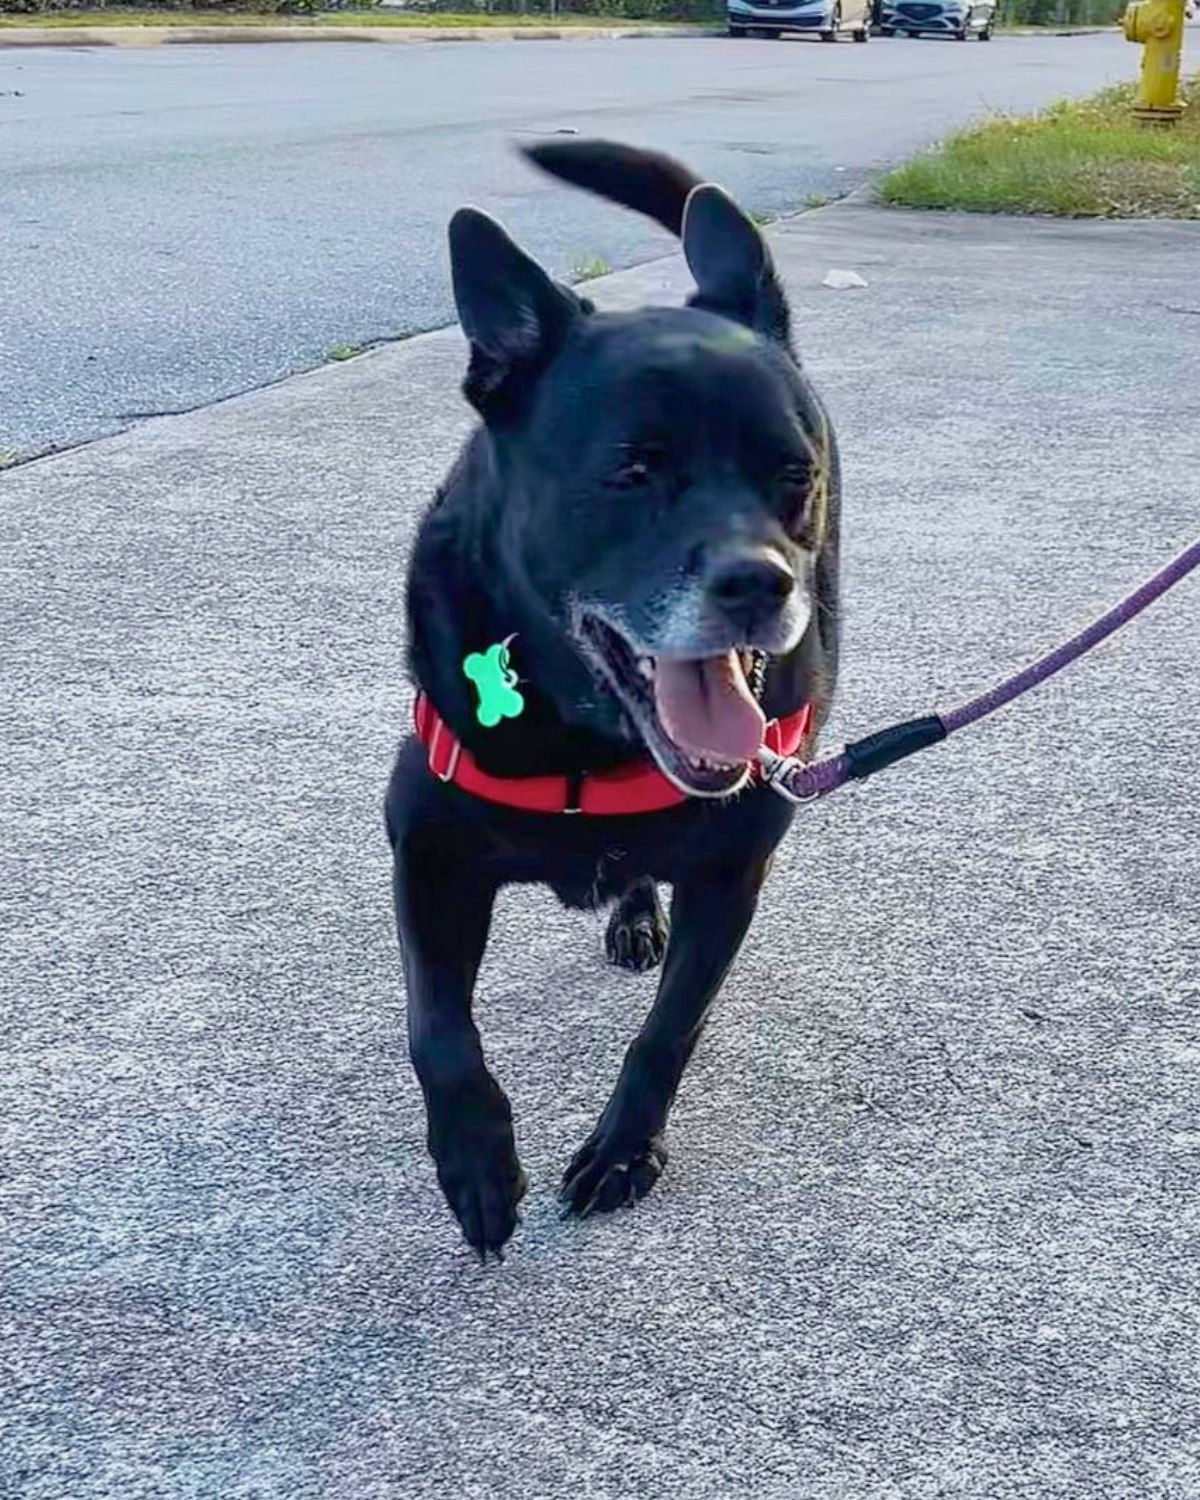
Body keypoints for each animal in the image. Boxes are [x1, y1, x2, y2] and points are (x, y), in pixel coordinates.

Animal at [390, 141, 840, 1254]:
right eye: (632, 473)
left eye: (793, 473)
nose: (761, 584)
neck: (590, 740)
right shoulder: (425, 848)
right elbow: (436, 1027)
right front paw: (475, 1165)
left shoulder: (732, 870)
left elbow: (670, 1028)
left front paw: (624, 1151)